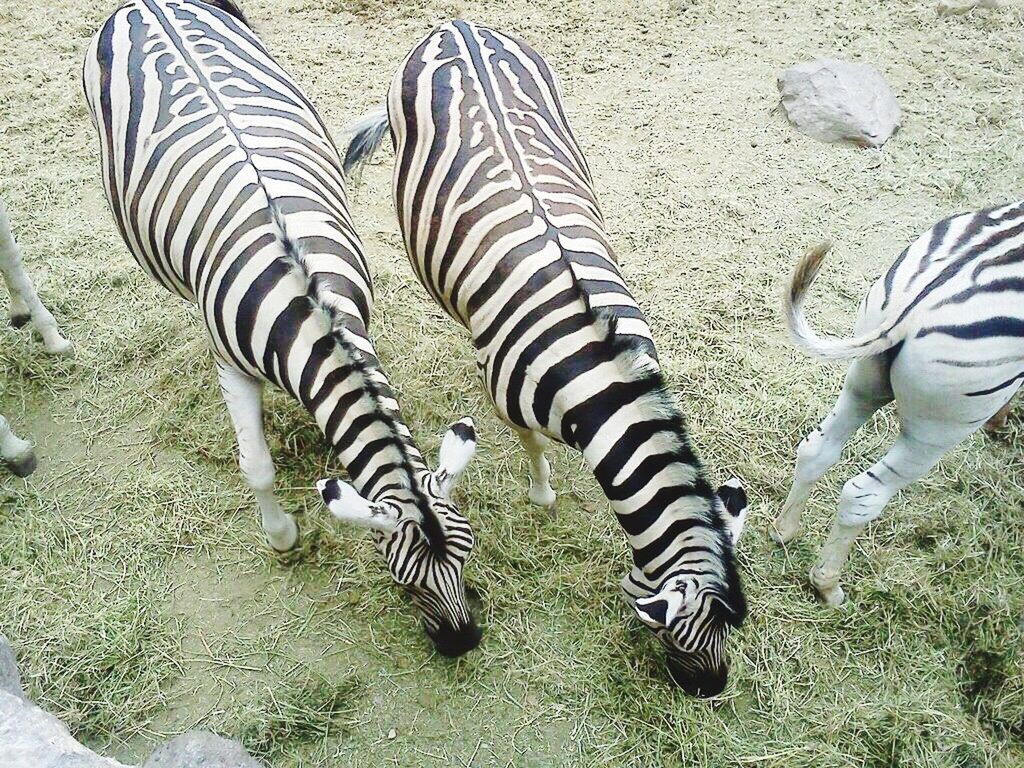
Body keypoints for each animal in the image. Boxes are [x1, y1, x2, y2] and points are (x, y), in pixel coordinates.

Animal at [339, 19, 749, 696]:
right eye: (677, 633)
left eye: (735, 626)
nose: (711, 692)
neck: (592, 369)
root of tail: (455, 25)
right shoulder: (509, 401)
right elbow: (531, 445)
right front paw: (542, 495)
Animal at [774, 202, 1024, 606]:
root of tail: (915, 306)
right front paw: (1001, 421)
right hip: (937, 430)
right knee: (864, 494)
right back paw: (828, 585)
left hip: (863, 378)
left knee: (816, 450)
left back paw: (784, 530)